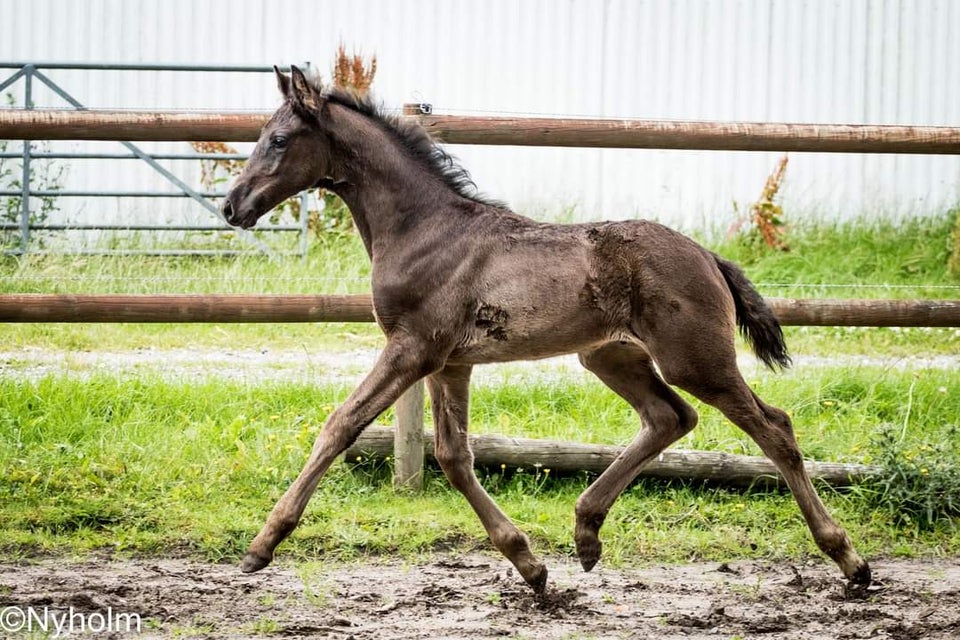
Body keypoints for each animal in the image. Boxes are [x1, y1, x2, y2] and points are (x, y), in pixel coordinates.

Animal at [223, 67, 872, 592]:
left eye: (278, 139)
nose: (233, 205)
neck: (424, 228)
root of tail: (709, 256)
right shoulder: (450, 362)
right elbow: (453, 455)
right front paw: (530, 566)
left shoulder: (413, 349)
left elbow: (341, 425)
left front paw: (261, 545)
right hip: (610, 357)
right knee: (670, 417)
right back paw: (586, 532)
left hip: (695, 359)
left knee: (773, 427)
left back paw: (850, 562)